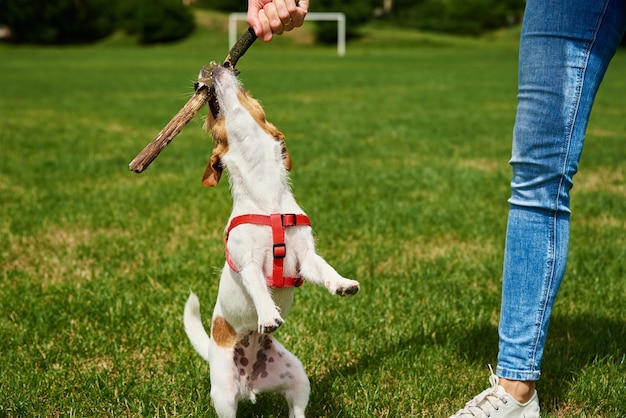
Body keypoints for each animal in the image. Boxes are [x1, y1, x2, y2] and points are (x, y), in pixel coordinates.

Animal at [184, 65, 360, 418]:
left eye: (250, 96)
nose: (212, 68)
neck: (266, 197)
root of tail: (251, 385)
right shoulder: (248, 262)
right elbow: (257, 285)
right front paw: (267, 315)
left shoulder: (305, 257)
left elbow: (325, 268)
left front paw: (343, 284)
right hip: (223, 394)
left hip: (297, 376)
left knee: (297, 408)